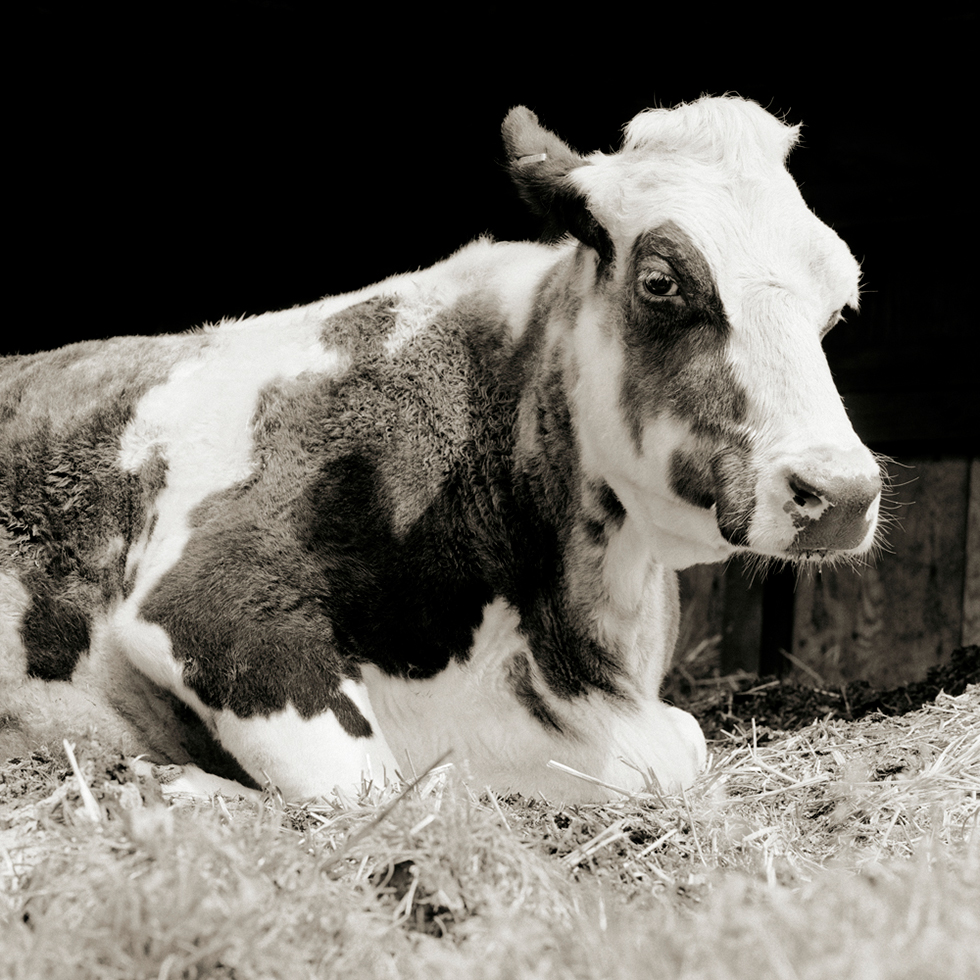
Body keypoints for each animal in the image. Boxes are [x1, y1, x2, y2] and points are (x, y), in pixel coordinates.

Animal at [0, 97, 884, 804]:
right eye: (661, 282)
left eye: (840, 304)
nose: (840, 493)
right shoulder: (202, 607)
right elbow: (377, 785)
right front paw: (169, 780)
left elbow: (678, 748)